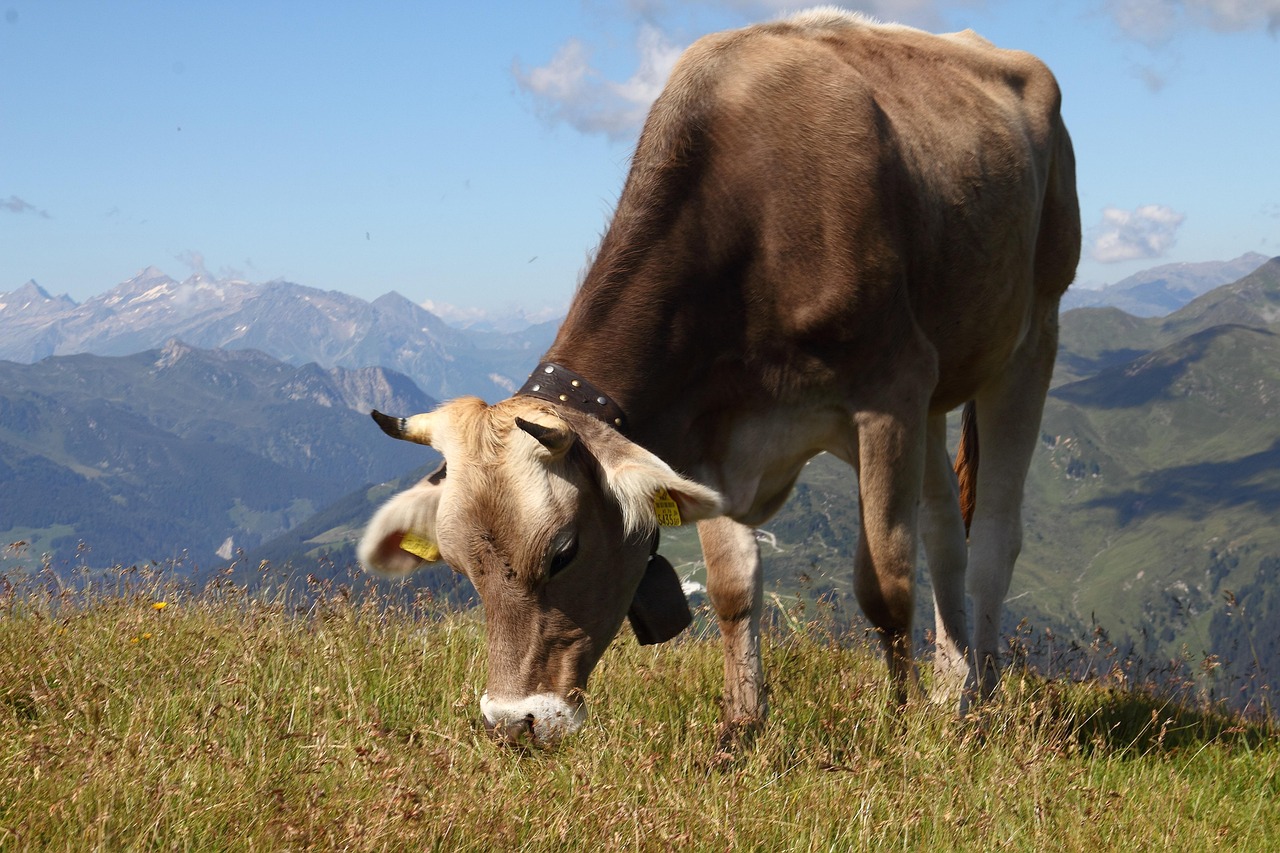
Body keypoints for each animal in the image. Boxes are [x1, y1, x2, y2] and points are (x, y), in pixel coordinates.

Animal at [359, 8, 1080, 747]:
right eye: (459, 565)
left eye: (563, 551)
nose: (515, 722)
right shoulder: (711, 438)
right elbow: (734, 587)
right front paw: (742, 723)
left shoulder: (891, 391)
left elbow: (884, 583)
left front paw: (900, 722)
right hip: (940, 389)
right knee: (944, 533)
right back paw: (950, 689)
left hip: (1032, 333)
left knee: (992, 534)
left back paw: (980, 697)